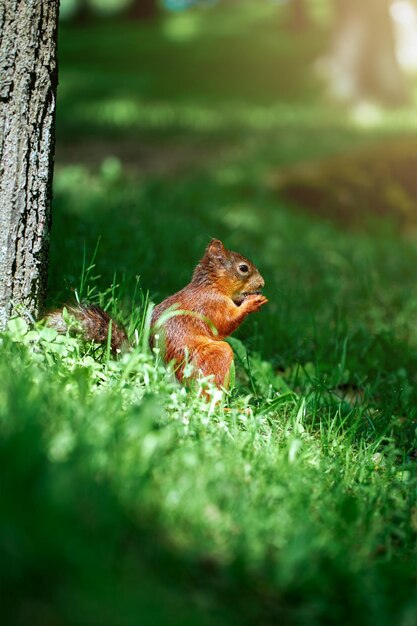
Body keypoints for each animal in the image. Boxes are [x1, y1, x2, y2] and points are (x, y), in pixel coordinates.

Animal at [45, 240, 266, 390]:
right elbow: (224, 324)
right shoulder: (211, 305)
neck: (212, 287)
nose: (262, 284)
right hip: (213, 358)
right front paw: (252, 303)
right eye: (243, 268)